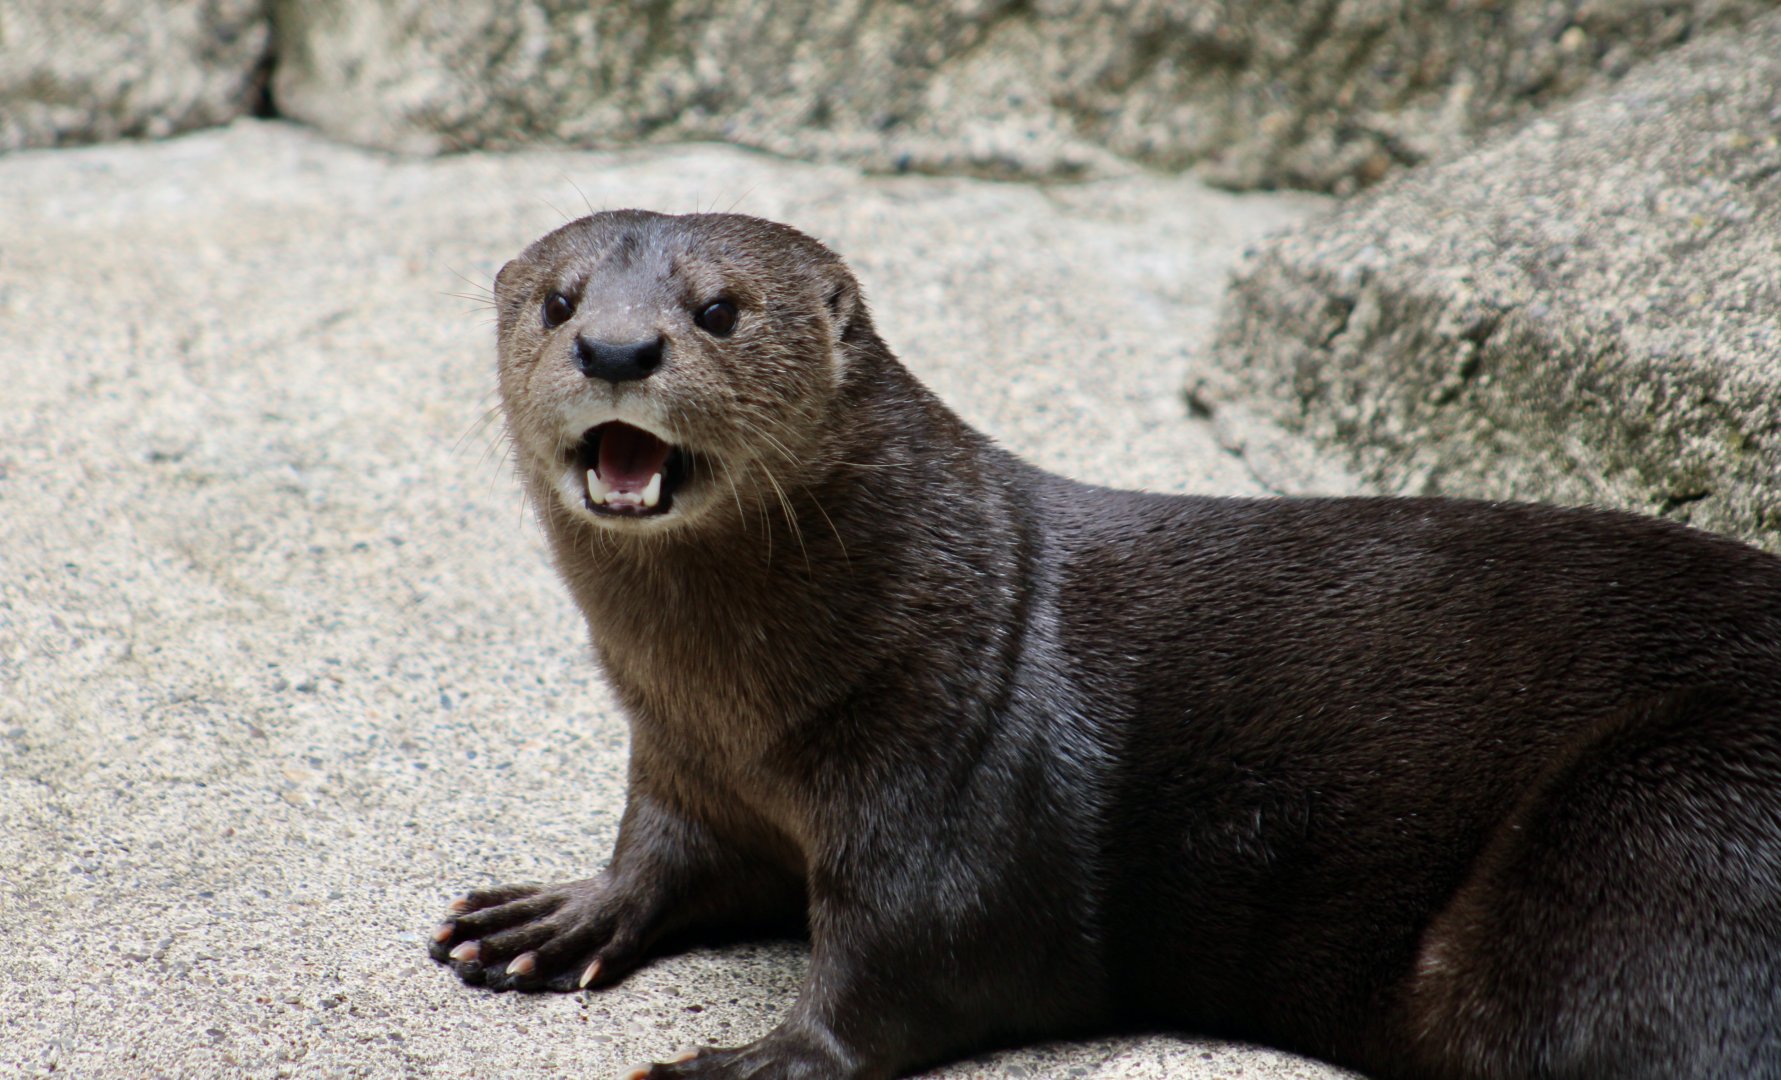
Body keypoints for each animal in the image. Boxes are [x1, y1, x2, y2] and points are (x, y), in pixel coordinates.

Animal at [431, 210, 1781, 1080]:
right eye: (558, 302)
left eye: (718, 310)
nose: (614, 348)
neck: (755, 714)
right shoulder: (685, 761)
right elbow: (661, 851)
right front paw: (554, 916)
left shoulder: (952, 780)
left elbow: (911, 963)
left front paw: (753, 1060)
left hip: (1662, 824)